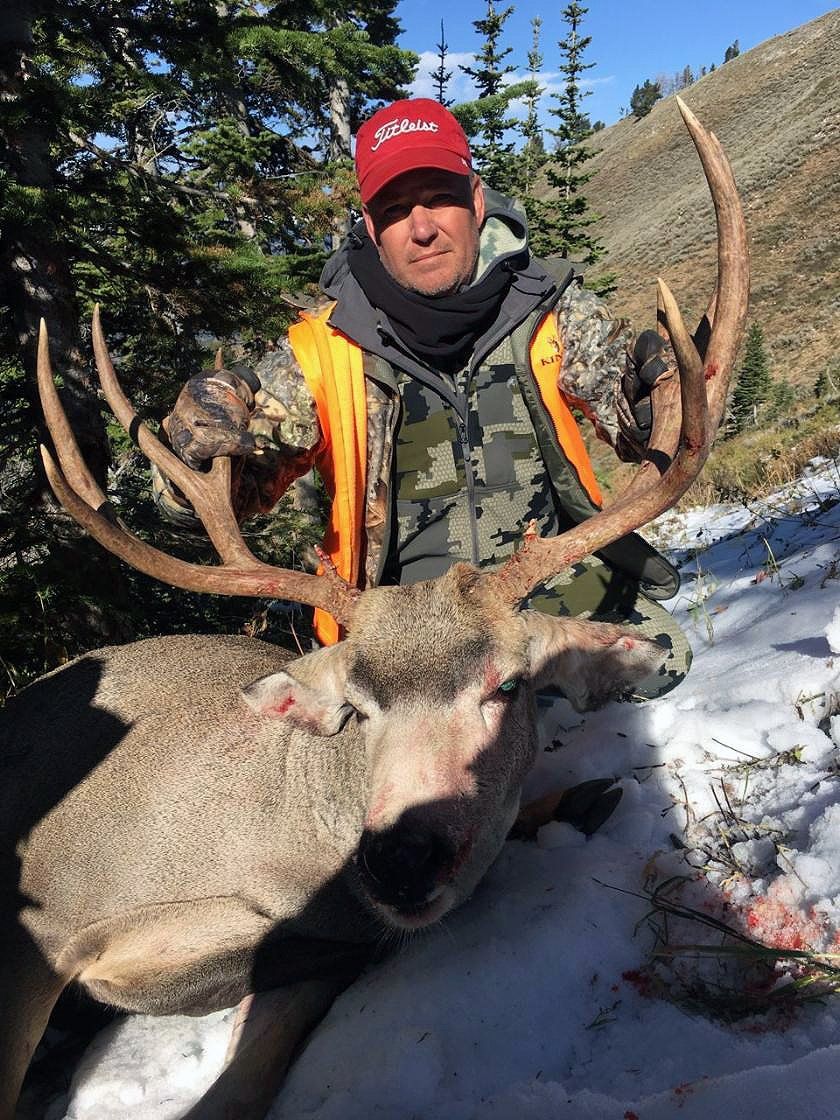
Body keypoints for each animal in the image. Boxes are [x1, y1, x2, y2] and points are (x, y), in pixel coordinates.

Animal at [0, 99, 748, 1120]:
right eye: (356, 706)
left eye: (508, 686)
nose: (399, 858)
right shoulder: (36, 926)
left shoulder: (312, 957)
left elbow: (243, 1080)